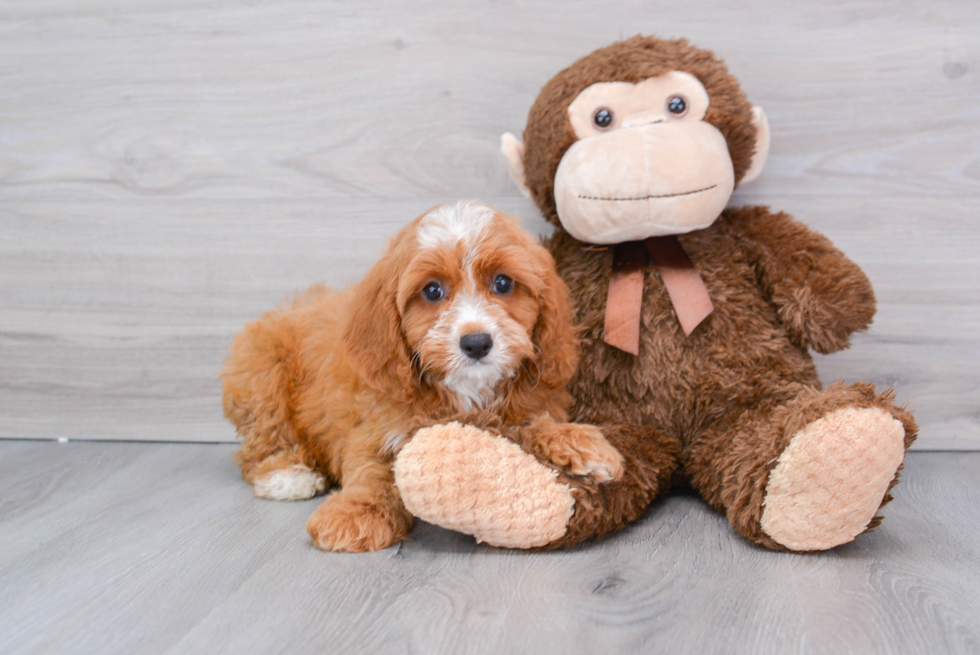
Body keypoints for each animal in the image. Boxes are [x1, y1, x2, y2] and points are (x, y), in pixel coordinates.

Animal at [220, 201, 620, 552]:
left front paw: (578, 442)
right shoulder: (376, 428)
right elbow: (371, 472)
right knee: (262, 441)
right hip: (261, 371)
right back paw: (287, 474)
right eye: (432, 290)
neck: (463, 389)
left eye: (503, 283)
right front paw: (356, 512)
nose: (477, 343)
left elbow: (525, 424)